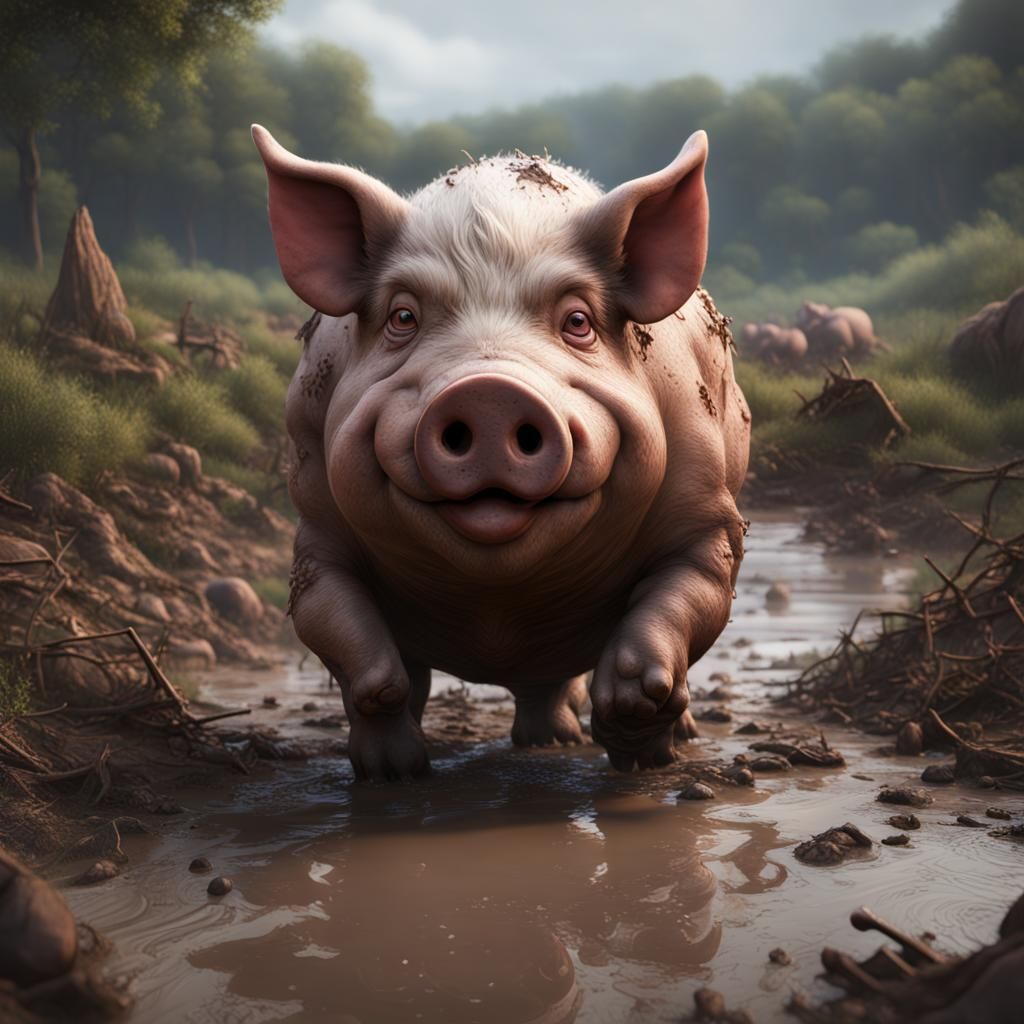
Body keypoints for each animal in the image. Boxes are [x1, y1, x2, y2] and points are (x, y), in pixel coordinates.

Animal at [252, 124, 750, 781]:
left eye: (578, 322)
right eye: (403, 316)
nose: (489, 391)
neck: (498, 606)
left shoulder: (707, 520)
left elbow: (681, 605)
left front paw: (638, 731)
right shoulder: (314, 527)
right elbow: (348, 641)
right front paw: (393, 772)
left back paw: (585, 742)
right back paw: (541, 744)